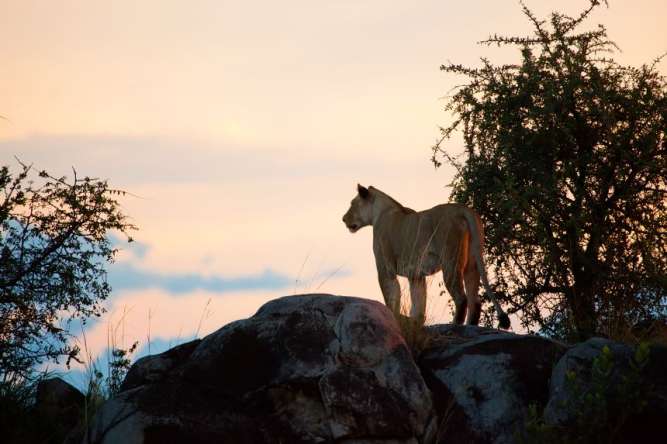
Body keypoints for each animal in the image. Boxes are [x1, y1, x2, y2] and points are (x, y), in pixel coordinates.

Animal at [342, 184, 510, 329]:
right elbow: (418, 304)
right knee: (475, 301)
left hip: (451, 261)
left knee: (462, 298)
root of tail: (462, 209)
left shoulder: (385, 268)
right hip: (472, 262)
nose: (343, 219)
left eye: (352, 204)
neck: (379, 213)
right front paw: (415, 323)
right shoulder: (415, 275)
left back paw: (454, 325)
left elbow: (392, 298)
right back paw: (470, 326)